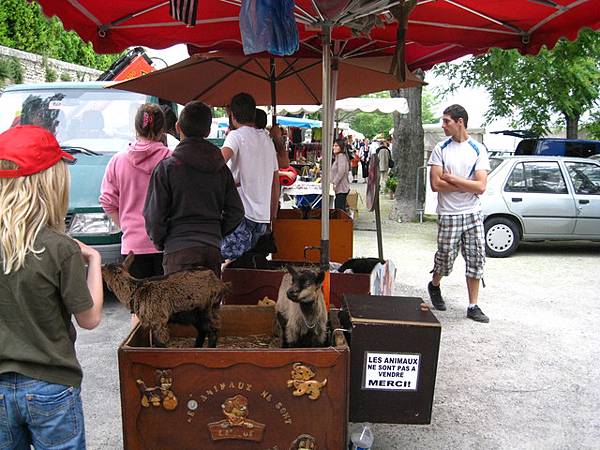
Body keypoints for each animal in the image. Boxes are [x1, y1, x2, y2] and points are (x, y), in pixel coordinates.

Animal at [102, 253, 231, 348]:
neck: (135, 290)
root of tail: (220, 284)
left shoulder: (158, 321)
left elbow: (161, 344)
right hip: (198, 314)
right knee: (203, 330)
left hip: (206, 309)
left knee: (213, 331)